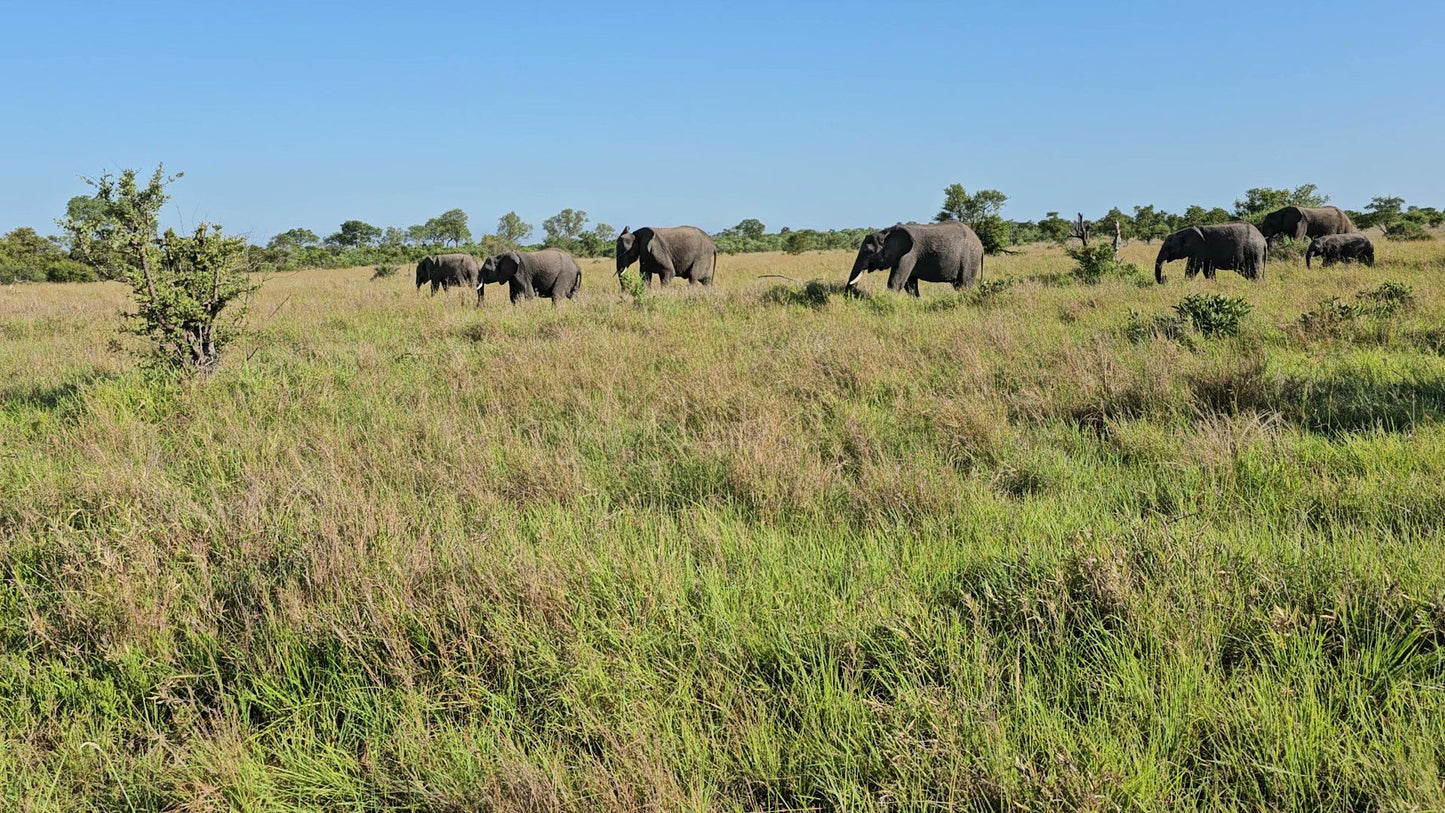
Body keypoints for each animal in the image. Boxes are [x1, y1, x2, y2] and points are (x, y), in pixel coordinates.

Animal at [843, 220, 988, 297]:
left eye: (869, 251)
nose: (847, 296)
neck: (886, 233)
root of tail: (980, 245)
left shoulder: (908, 255)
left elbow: (895, 282)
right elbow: (910, 284)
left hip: (970, 258)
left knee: (964, 284)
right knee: (958, 285)